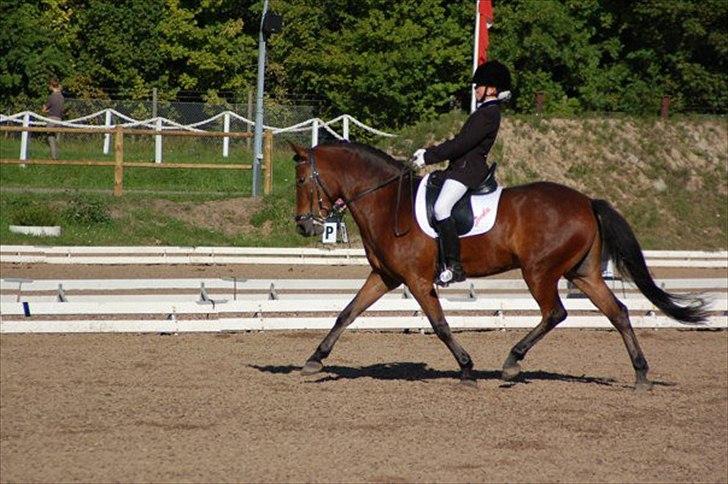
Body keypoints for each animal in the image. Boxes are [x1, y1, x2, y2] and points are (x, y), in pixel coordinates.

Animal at [290, 141, 707, 390]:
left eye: (301, 180)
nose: (303, 225)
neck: (388, 201)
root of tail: (587, 201)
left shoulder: (417, 280)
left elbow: (440, 325)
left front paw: (467, 369)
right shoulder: (385, 276)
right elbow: (346, 313)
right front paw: (314, 360)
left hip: (539, 271)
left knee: (555, 313)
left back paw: (512, 363)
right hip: (583, 273)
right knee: (617, 312)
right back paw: (641, 375)